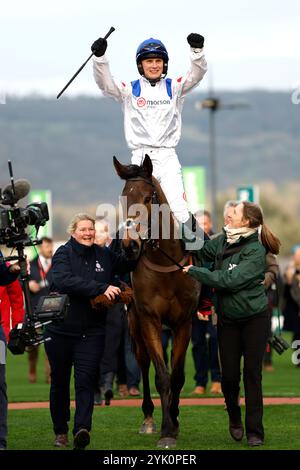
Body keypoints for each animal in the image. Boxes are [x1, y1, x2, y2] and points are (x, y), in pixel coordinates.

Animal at [113, 155, 202, 448]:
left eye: (148, 197)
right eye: (123, 199)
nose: (129, 245)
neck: (165, 264)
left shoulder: (184, 322)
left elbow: (177, 376)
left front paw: (174, 420)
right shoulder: (149, 319)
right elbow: (161, 376)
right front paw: (165, 430)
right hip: (135, 325)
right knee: (143, 363)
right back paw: (149, 418)